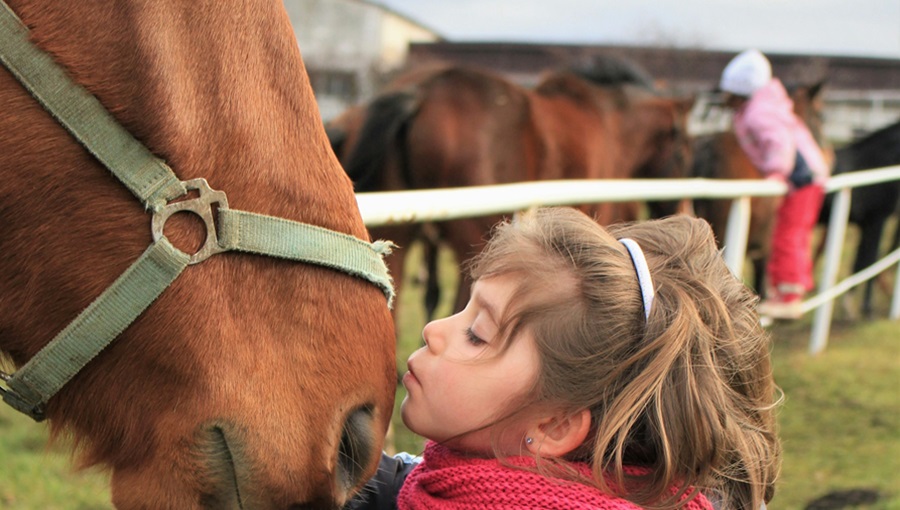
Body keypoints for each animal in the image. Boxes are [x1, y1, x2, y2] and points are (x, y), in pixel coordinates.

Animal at [330, 59, 696, 320]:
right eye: (683, 153)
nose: (685, 211)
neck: (611, 123)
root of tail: (420, 91)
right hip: (474, 239)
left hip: (404, 236)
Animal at [820, 118, 900, 314]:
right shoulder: (877, 220)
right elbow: (869, 260)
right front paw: (867, 307)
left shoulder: (866, 225)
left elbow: (860, 262)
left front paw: (849, 304)